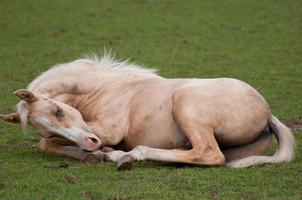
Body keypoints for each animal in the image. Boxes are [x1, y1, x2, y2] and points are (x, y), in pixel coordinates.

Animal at [0, 55, 294, 170]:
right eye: (44, 124)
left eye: (58, 109)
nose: (91, 143)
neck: (103, 87)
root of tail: (267, 114)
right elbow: (45, 144)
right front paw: (93, 155)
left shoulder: (108, 130)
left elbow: (47, 144)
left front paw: (105, 153)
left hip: (186, 103)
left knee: (209, 154)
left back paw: (130, 155)